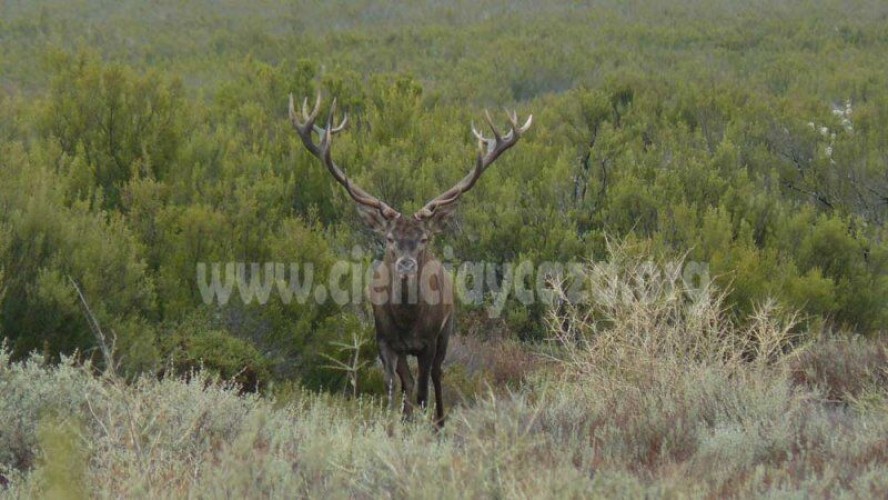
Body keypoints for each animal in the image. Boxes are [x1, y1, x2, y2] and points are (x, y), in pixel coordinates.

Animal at [288, 93, 532, 426]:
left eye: (424, 239)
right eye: (389, 238)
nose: (406, 264)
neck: (407, 320)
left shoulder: (429, 340)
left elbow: (423, 389)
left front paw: (427, 424)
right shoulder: (385, 341)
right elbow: (395, 387)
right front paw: (393, 424)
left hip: (447, 329)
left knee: (437, 376)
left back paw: (440, 422)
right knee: (409, 383)